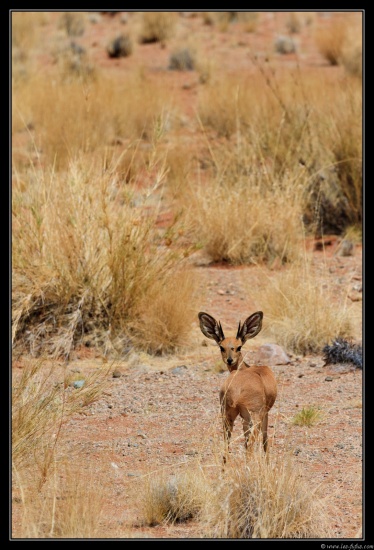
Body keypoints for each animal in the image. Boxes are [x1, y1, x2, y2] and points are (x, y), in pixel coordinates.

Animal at [199, 310, 278, 462]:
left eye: (238, 346)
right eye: (221, 347)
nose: (230, 360)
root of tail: (236, 391)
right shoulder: (264, 413)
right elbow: (265, 439)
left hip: (228, 414)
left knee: (227, 443)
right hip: (254, 416)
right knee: (251, 443)